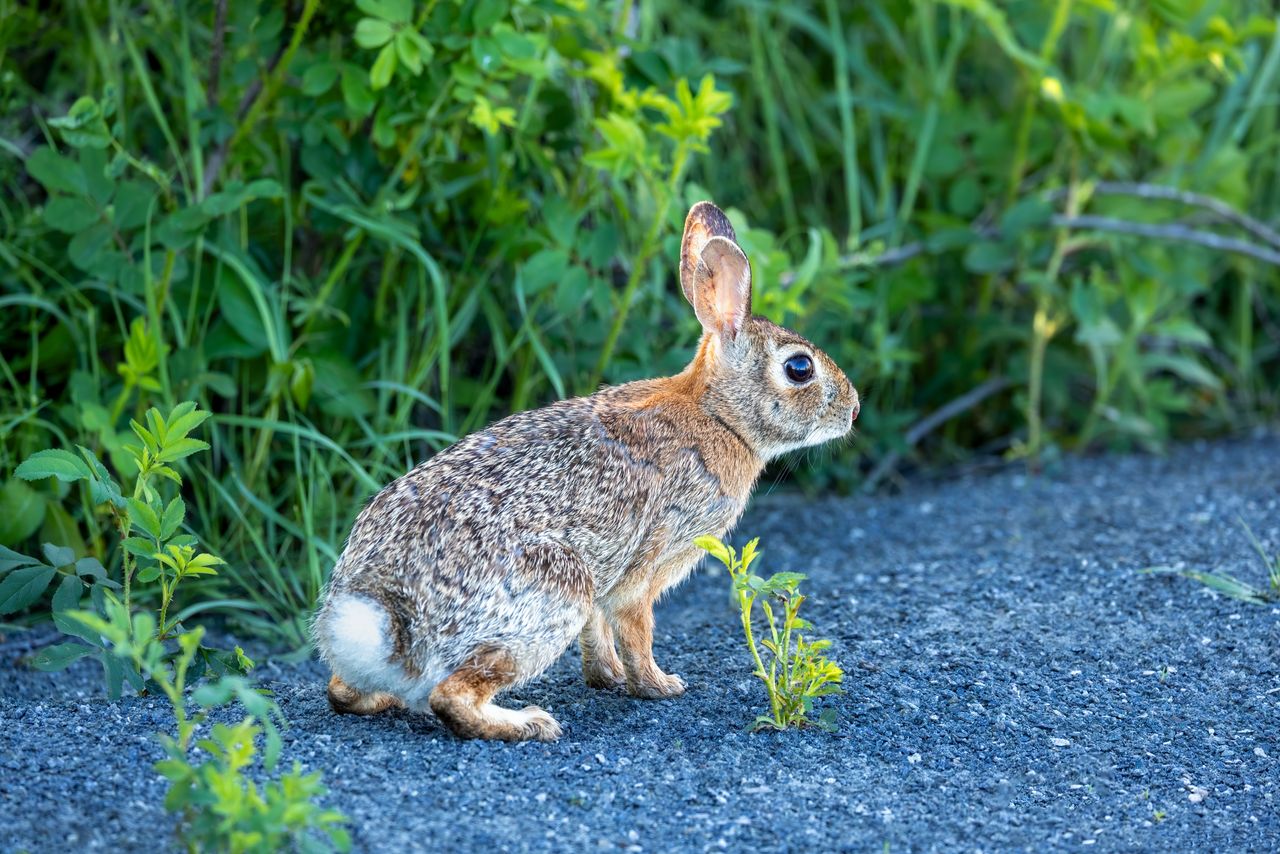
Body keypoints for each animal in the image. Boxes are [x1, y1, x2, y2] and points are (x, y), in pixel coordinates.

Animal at [312, 201, 859, 742]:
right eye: (799, 369)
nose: (853, 411)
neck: (720, 416)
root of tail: (384, 618)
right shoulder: (647, 562)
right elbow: (635, 628)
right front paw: (659, 686)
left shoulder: (607, 573)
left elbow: (598, 634)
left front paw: (607, 678)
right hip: (554, 592)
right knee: (453, 696)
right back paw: (529, 723)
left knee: (344, 692)